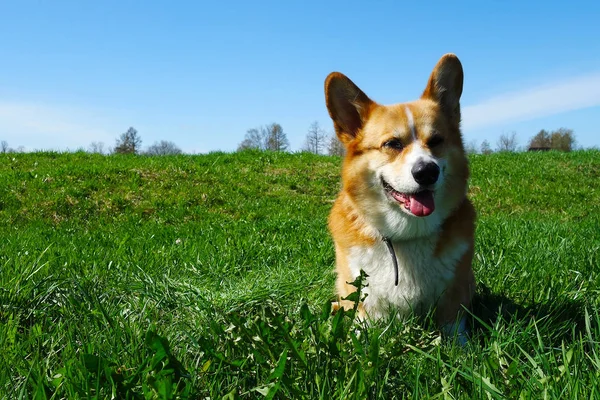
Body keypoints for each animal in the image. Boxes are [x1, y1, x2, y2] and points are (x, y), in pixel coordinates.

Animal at [326, 52, 476, 340]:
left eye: (436, 140)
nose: (427, 171)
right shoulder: (362, 300)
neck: (407, 234)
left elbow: (453, 329)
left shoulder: (455, 292)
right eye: (392, 144)